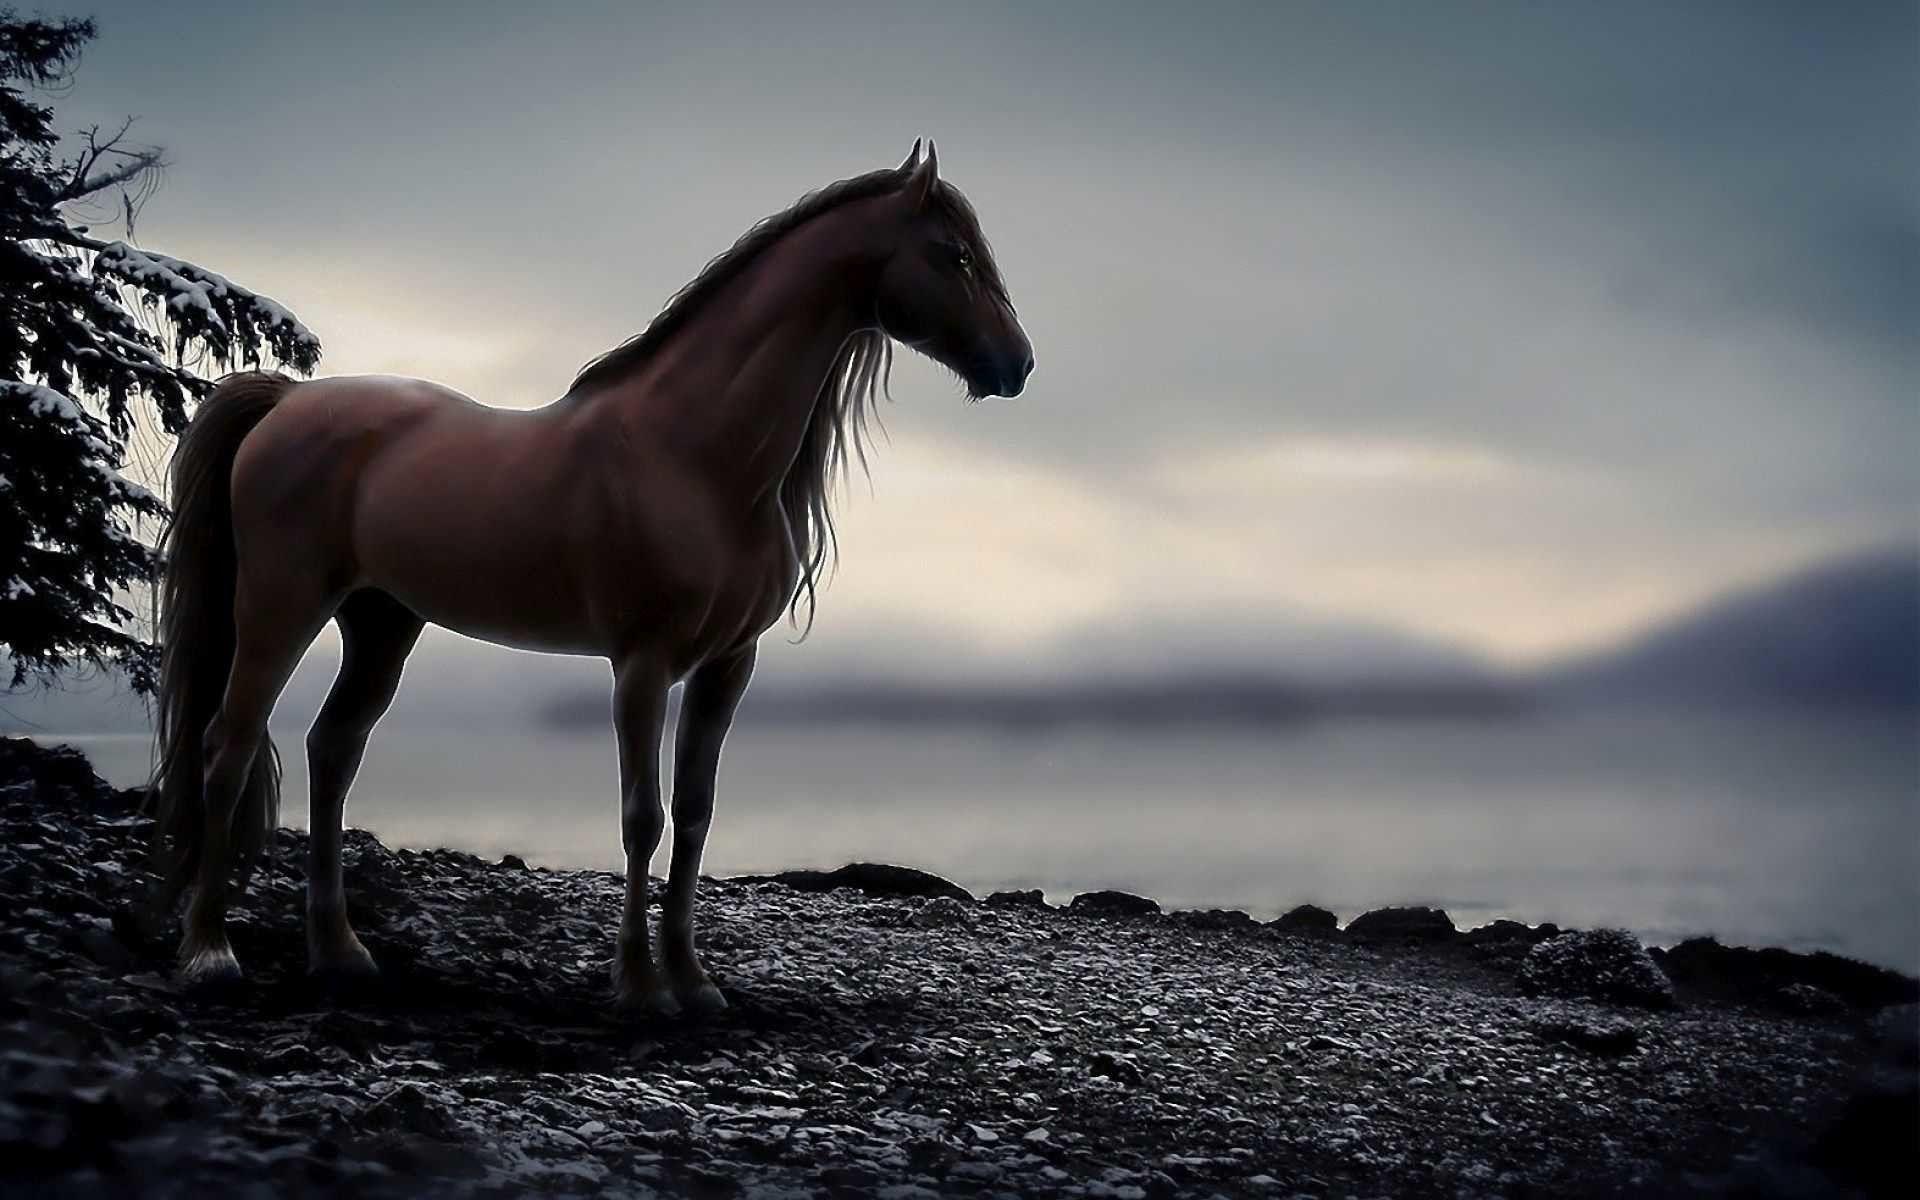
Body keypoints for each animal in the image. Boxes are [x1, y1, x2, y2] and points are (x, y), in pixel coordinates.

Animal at [146, 141, 1032, 1017]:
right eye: (954, 254)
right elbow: (642, 816)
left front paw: (694, 981)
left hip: (382, 622)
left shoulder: (727, 666)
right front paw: (639, 986)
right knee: (228, 746)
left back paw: (340, 953)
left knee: (332, 751)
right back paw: (210, 952)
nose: (1017, 363)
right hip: (280, 606)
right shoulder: (642, 663)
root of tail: (285, 402)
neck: (694, 454)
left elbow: (696, 814)